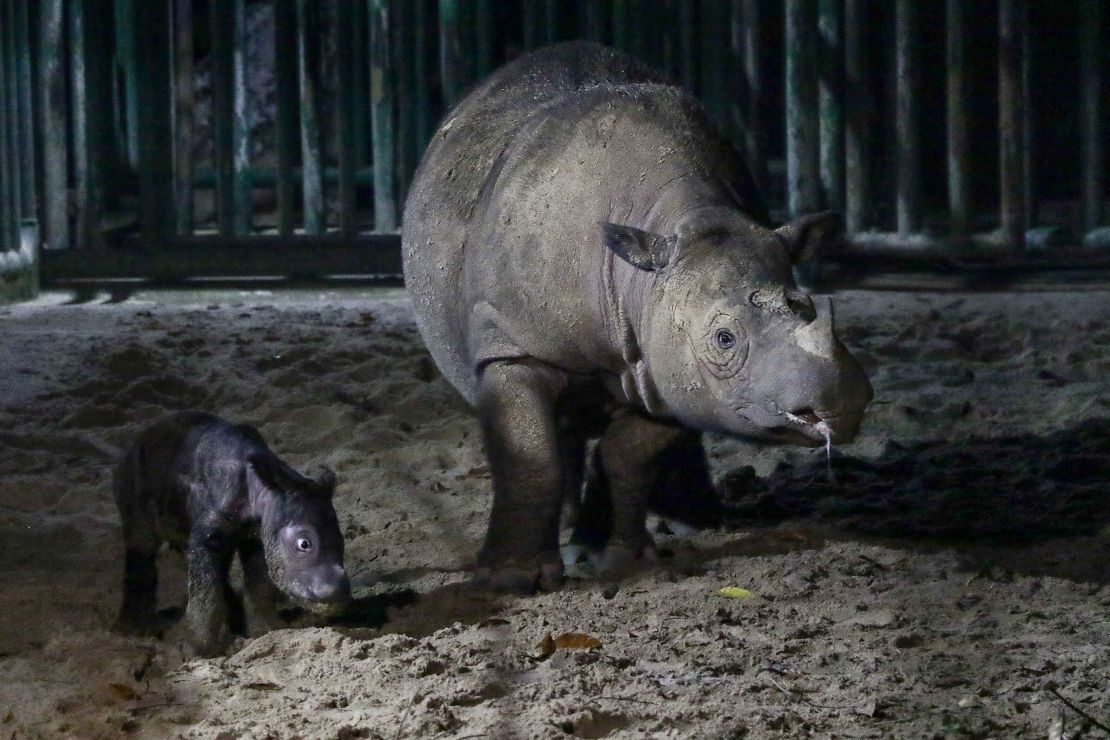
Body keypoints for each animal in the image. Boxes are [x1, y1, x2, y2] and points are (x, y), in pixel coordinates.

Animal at [114, 410, 348, 661]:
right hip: (133, 477)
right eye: (304, 544)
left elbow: (259, 582)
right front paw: (199, 652)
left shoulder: (259, 534)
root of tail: (140, 439)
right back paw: (134, 631)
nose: (337, 595)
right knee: (142, 544)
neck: (263, 489)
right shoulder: (209, 532)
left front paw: (267, 632)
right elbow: (206, 593)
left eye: (341, 540)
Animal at [404, 43, 870, 594]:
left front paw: (611, 558)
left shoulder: (668, 361)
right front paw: (512, 577)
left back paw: (689, 523)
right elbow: (530, 455)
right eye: (724, 339)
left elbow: (628, 450)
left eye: (807, 308)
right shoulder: (514, 344)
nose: (843, 403)